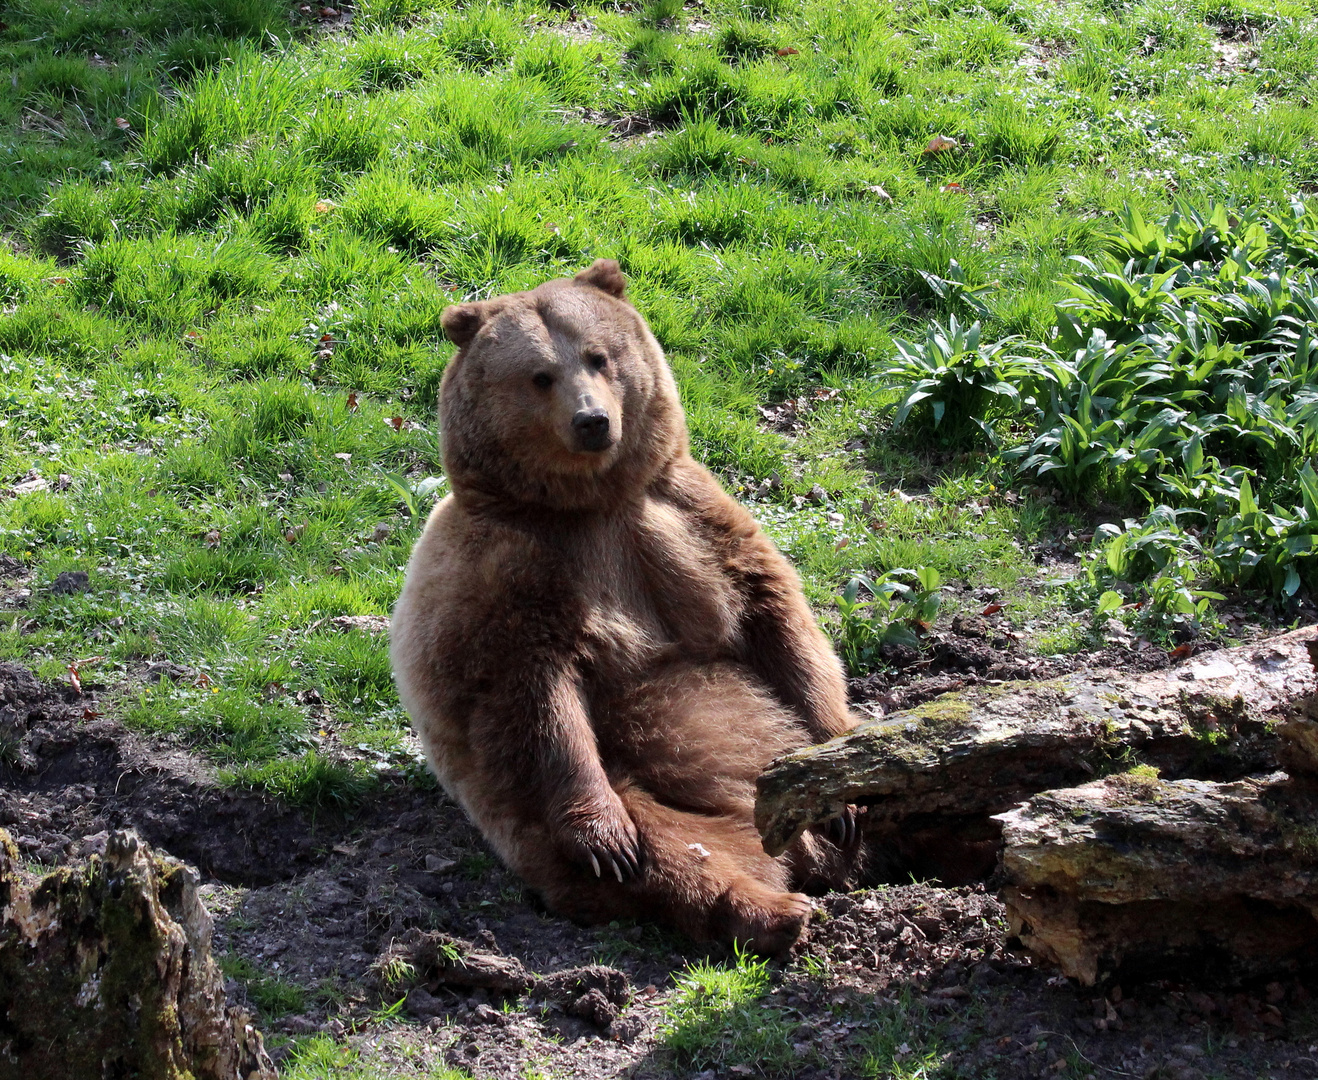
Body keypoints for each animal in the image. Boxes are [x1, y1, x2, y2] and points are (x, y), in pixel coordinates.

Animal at [387, 257, 864, 949]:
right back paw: (773, 911)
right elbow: (534, 695)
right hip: (631, 800)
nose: (593, 421)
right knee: (671, 854)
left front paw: (838, 786)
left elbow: (781, 626)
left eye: (599, 355)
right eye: (540, 375)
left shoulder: (686, 517)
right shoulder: (513, 573)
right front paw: (605, 840)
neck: (591, 502)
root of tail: (796, 857)